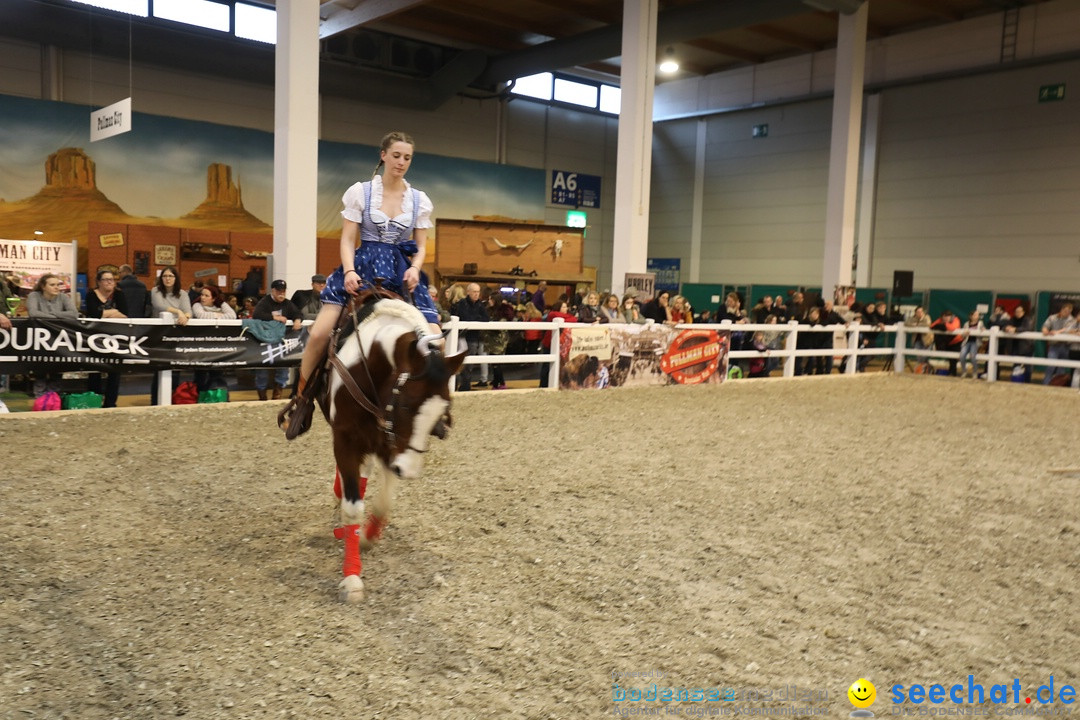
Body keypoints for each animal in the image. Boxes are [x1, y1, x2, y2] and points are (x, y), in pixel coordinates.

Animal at [321, 295, 466, 604]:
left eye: (441, 413)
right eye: (407, 405)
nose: (407, 472)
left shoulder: (388, 441)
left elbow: (384, 500)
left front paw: (367, 536)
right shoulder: (346, 437)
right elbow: (353, 507)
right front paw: (352, 578)